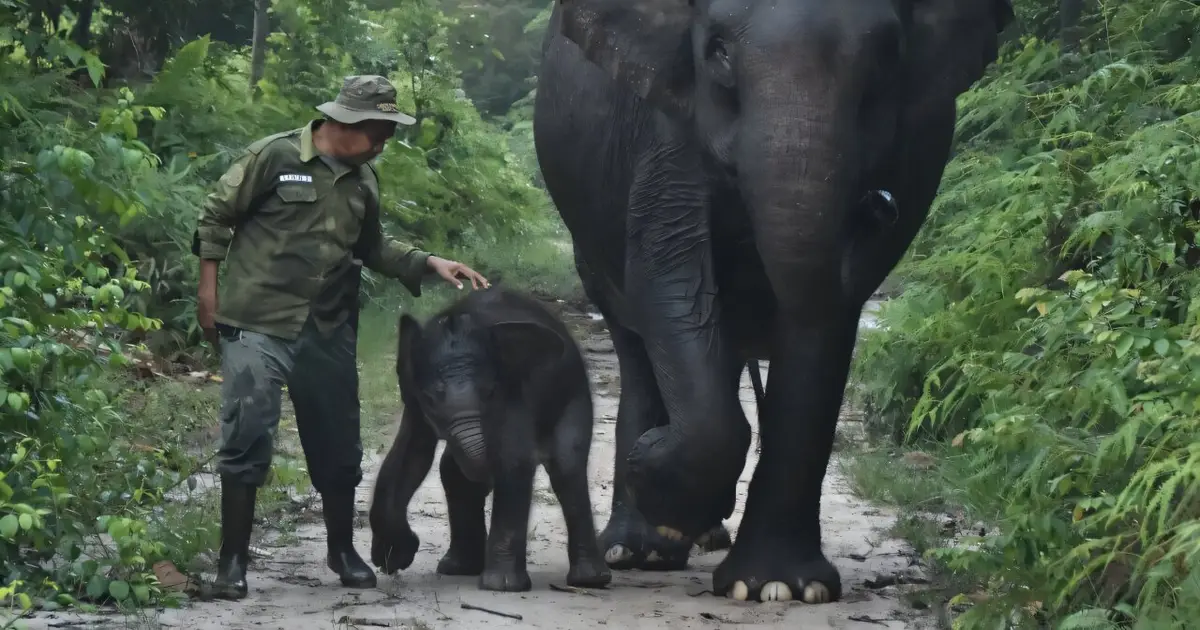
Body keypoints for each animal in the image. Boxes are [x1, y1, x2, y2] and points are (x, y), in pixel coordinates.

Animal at [367, 286, 612, 592]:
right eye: (430, 399)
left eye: (490, 392)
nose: (389, 564)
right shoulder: (412, 396)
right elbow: (411, 455)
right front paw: (393, 557)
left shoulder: (515, 389)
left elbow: (514, 460)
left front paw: (501, 586)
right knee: (451, 472)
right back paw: (458, 568)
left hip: (574, 395)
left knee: (567, 467)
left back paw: (590, 580)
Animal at [532, 0, 1014, 603]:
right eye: (717, 50)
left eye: (887, 58)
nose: (878, 206)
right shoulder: (665, 123)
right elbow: (668, 275)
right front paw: (664, 490)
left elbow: (824, 319)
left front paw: (779, 586)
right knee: (633, 337)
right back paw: (641, 547)